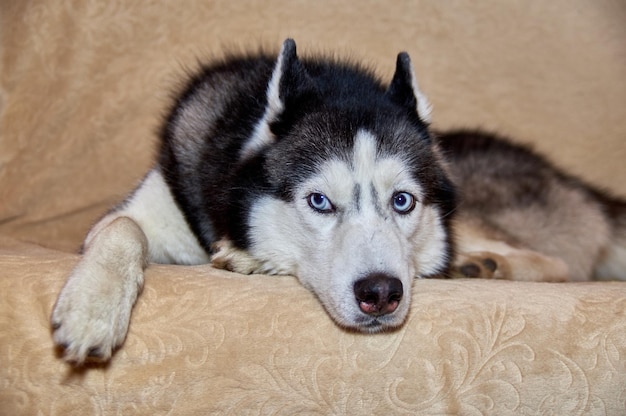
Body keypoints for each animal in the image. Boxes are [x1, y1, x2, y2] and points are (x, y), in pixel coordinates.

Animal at [51, 39, 624, 364]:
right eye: (320, 201)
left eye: (402, 201)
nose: (381, 294)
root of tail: (570, 180)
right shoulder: (147, 207)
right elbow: (121, 229)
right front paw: (93, 309)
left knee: (556, 264)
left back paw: (481, 266)